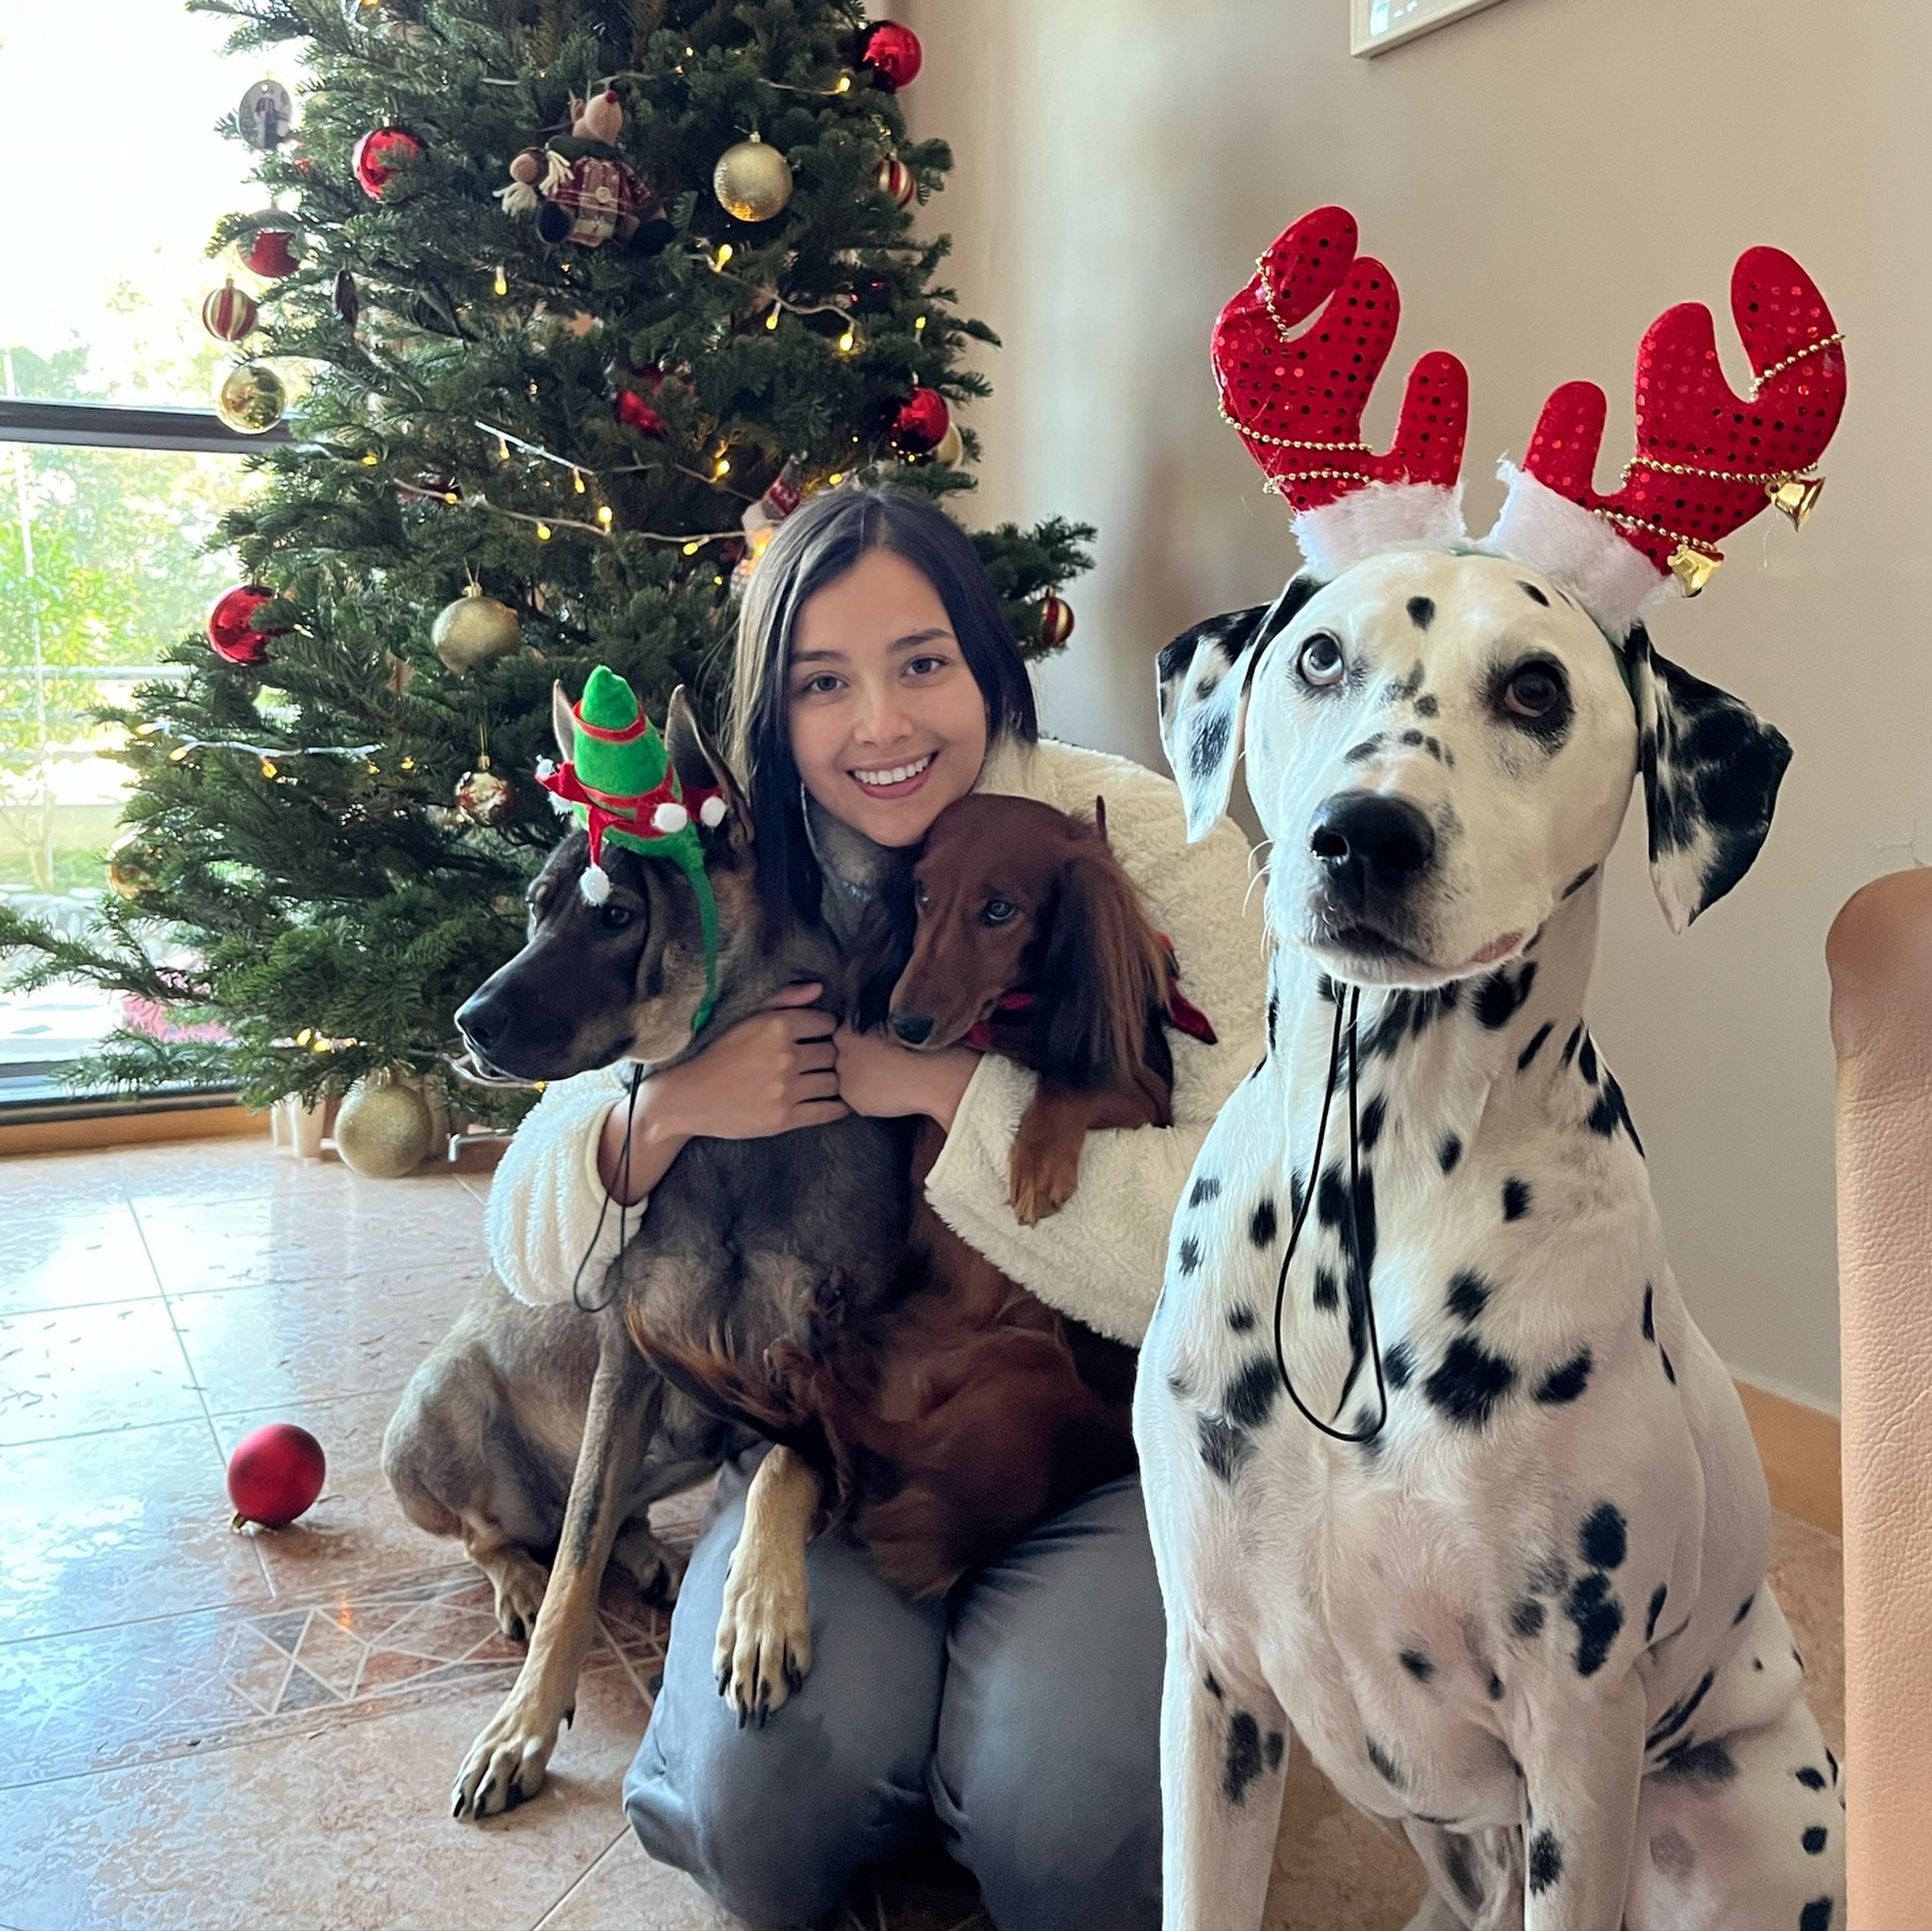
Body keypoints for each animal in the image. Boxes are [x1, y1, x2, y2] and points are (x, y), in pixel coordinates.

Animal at [1136, 204, 1847, 1925]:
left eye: (1535, 684)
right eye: (1318, 658)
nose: (1363, 835)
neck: (1375, 1188)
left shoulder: (1575, 1752)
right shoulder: (1212, 1687)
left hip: (1746, 1806)